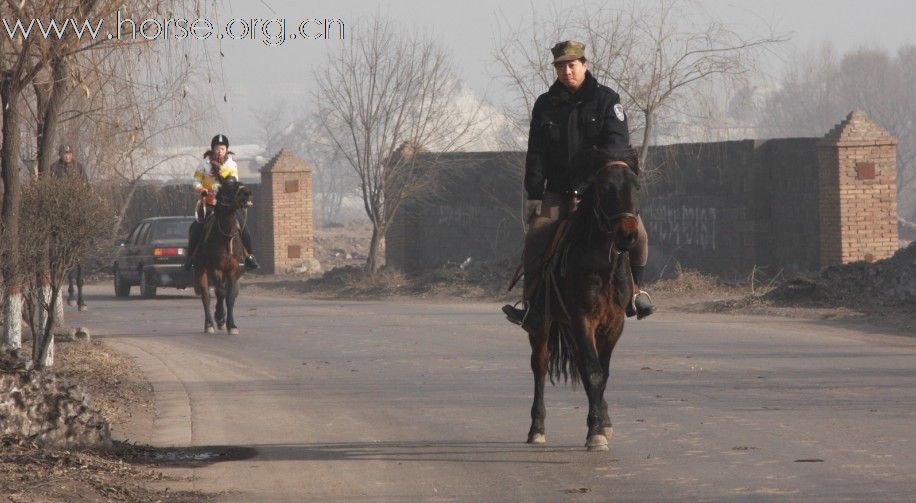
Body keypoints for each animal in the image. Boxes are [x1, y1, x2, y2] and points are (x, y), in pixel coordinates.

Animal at [191, 179, 252, 336]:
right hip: (201, 269)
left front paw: (231, 325)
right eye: (228, 187)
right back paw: (209, 324)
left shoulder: (233, 269)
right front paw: (219, 317)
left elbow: (230, 297)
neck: (226, 237)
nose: (247, 193)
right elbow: (220, 293)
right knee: (206, 297)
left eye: (238, 182)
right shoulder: (215, 268)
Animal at [524, 146, 640, 452]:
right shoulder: (582, 319)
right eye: (604, 187)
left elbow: (601, 373)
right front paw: (595, 433)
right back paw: (536, 429)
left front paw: (601, 424)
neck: (603, 263)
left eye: (635, 186)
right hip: (542, 325)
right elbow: (594, 372)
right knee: (540, 366)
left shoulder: (613, 323)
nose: (628, 235)